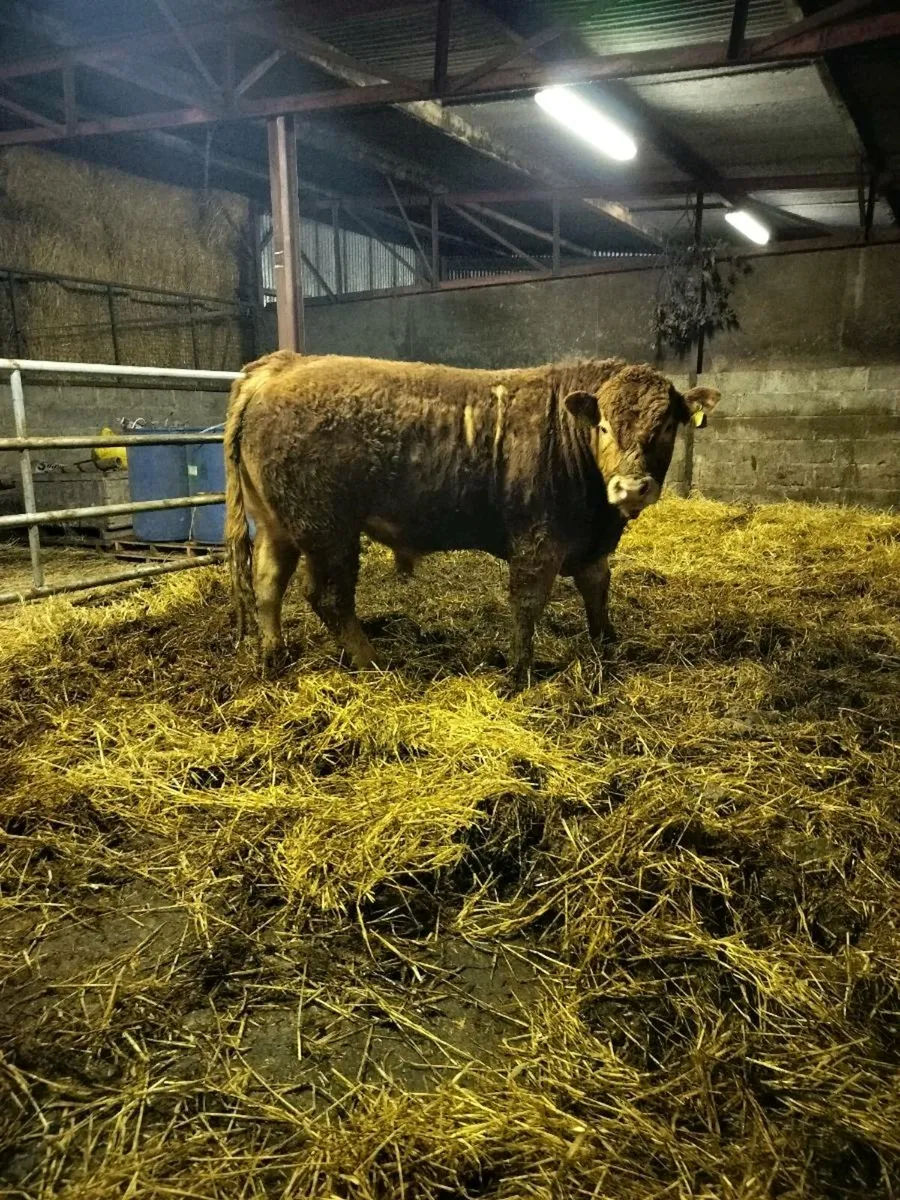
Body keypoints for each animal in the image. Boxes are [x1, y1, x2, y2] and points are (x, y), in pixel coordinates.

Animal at [224, 351, 720, 688]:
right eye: (604, 427)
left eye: (667, 426)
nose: (631, 488)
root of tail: (281, 365)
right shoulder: (537, 541)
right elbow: (527, 604)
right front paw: (519, 673)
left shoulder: (589, 543)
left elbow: (597, 589)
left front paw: (608, 644)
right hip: (327, 529)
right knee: (328, 596)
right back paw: (374, 662)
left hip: (276, 524)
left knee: (268, 584)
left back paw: (273, 656)